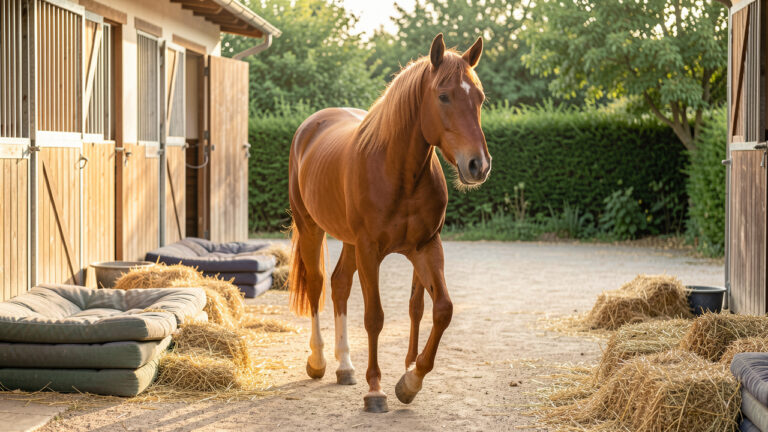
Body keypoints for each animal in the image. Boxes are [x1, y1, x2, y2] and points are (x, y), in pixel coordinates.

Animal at [287, 33, 491, 413]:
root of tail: (311, 126)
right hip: (310, 228)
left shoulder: (426, 247)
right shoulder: (370, 250)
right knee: (318, 286)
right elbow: (375, 317)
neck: (398, 171)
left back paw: (345, 365)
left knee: (339, 285)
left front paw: (410, 381)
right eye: (443, 96)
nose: (478, 165)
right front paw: (375, 390)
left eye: (480, 97)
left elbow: (441, 309)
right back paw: (319, 361)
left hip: (349, 241)